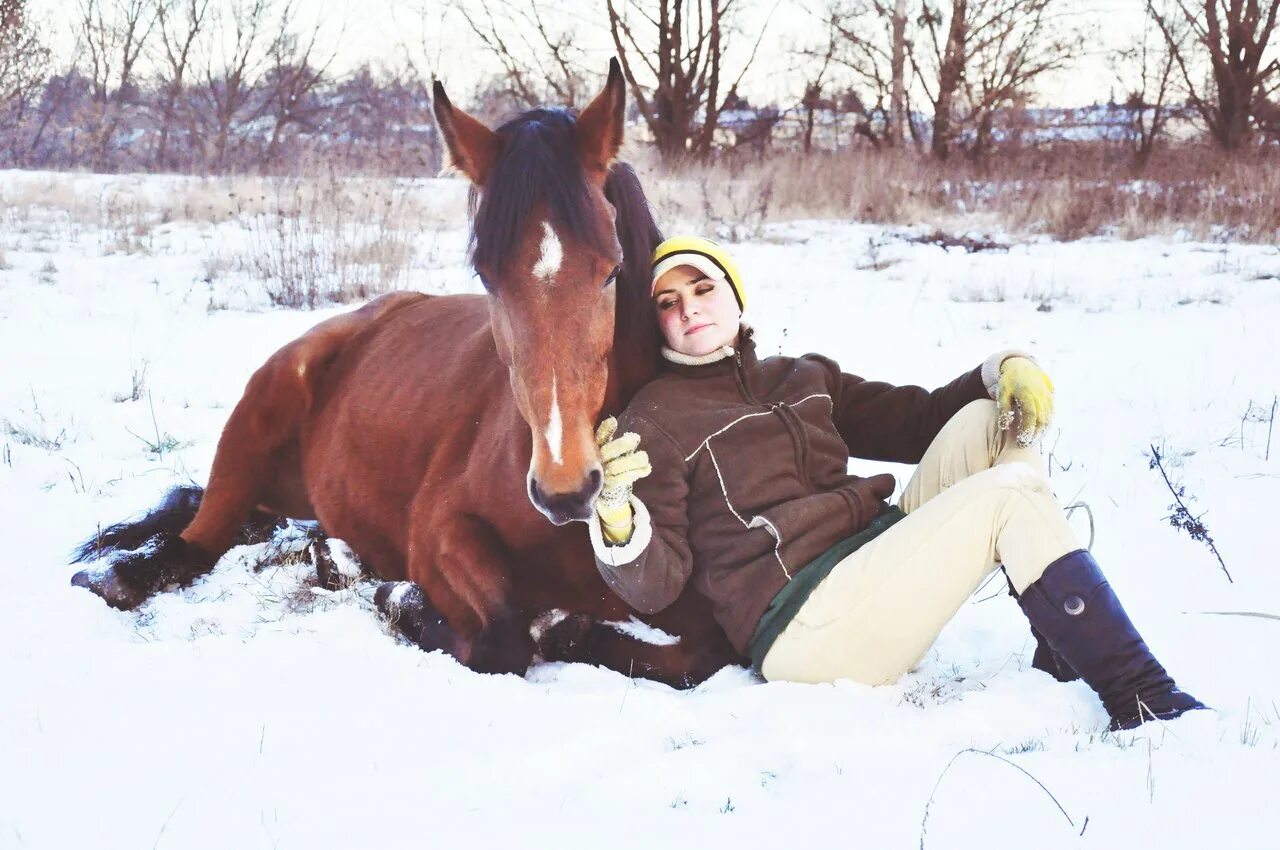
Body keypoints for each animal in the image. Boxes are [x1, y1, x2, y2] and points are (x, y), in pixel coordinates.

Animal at [70, 58, 747, 686]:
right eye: (486, 277)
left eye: (611, 268)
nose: (566, 488)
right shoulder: (440, 531)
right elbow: (501, 639)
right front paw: (401, 597)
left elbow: (697, 654)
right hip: (260, 415)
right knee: (197, 542)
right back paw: (123, 575)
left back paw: (331, 555)